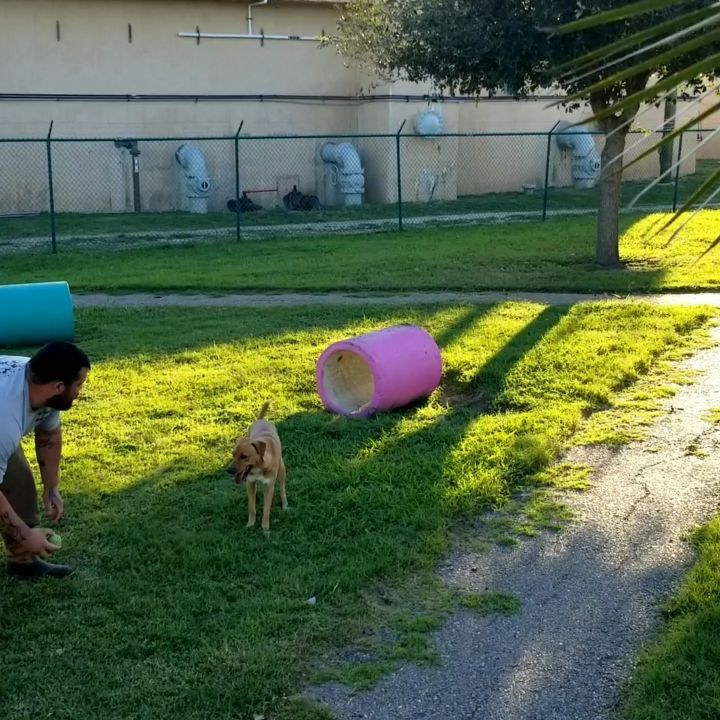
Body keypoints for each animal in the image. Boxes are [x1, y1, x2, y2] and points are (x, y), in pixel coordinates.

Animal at [229, 402, 288, 532]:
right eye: (233, 454)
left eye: (244, 456)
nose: (229, 470)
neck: (259, 466)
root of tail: (261, 420)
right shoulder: (250, 483)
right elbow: (251, 507)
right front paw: (250, 525)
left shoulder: (269, 486)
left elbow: (266, 509)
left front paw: (265, 529)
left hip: (282, 469)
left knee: (282, 488)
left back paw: (285, 505)